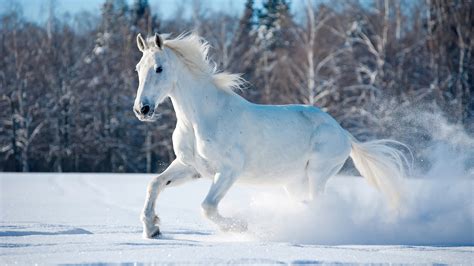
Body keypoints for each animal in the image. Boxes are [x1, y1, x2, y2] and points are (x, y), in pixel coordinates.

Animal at [132, 32, 408, 238]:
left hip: (318, 174)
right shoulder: (192, 167)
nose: (142, 109)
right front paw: (152, 229)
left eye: (158, 68)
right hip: (294, 182)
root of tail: (344, 133)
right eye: (138, 68)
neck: (200, 119)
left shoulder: (230, 170)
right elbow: (154, 184)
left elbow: (207, 207)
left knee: (318, 204)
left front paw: (241, 227)